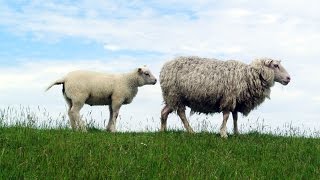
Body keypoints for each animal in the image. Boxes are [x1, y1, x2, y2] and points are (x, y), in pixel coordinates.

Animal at [159, 56, 290, 138]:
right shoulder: (228, 98)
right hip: (175, 95)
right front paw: (223, 134)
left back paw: (163, 131)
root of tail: (164, 68)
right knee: (181, 113)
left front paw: (236, 133)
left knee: (164, 112)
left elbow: (235, 117)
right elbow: (226, 116)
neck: (249, 75)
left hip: (172, 98)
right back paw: (191, 131)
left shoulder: (236, 101)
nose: (289, 78)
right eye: (276, 65)